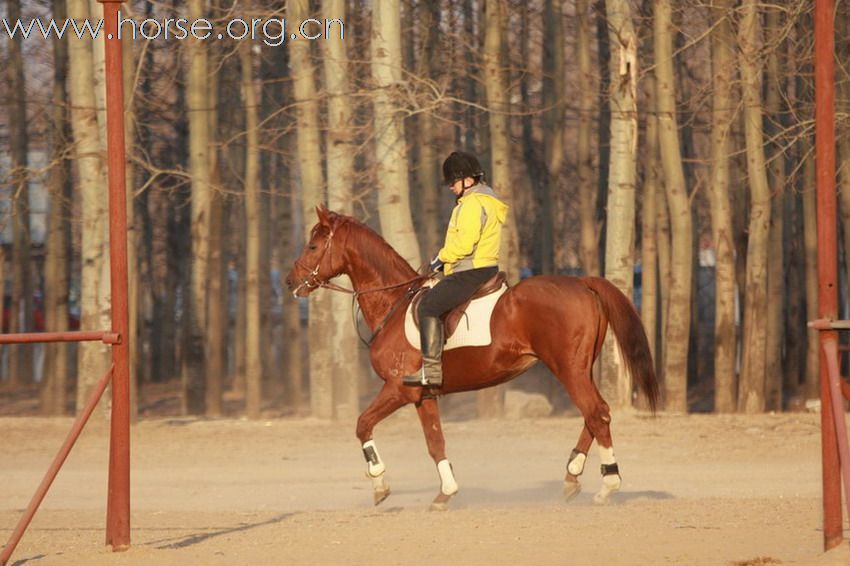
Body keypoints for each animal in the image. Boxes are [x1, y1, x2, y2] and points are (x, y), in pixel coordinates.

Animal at [284, 209, 656, 510]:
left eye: (313, 246)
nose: (290, 282)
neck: (394, 303)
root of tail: (582, 283)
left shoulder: (398, 390)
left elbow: (362, 424)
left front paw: (379, 484)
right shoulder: (422, 395)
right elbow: (435, 442)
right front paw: (445, 493)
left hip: (569, 369)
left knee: (596, 413)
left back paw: (607, 486)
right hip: (580, 369)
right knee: (595, 415)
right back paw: (572, 476)